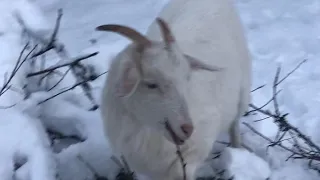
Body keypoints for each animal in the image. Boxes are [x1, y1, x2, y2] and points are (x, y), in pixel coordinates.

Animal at [96, 0, 251, 179]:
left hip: (243, 90)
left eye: (187, 78)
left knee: (235, 124)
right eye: (151, 84)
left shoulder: (194, 151)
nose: (187, 129)